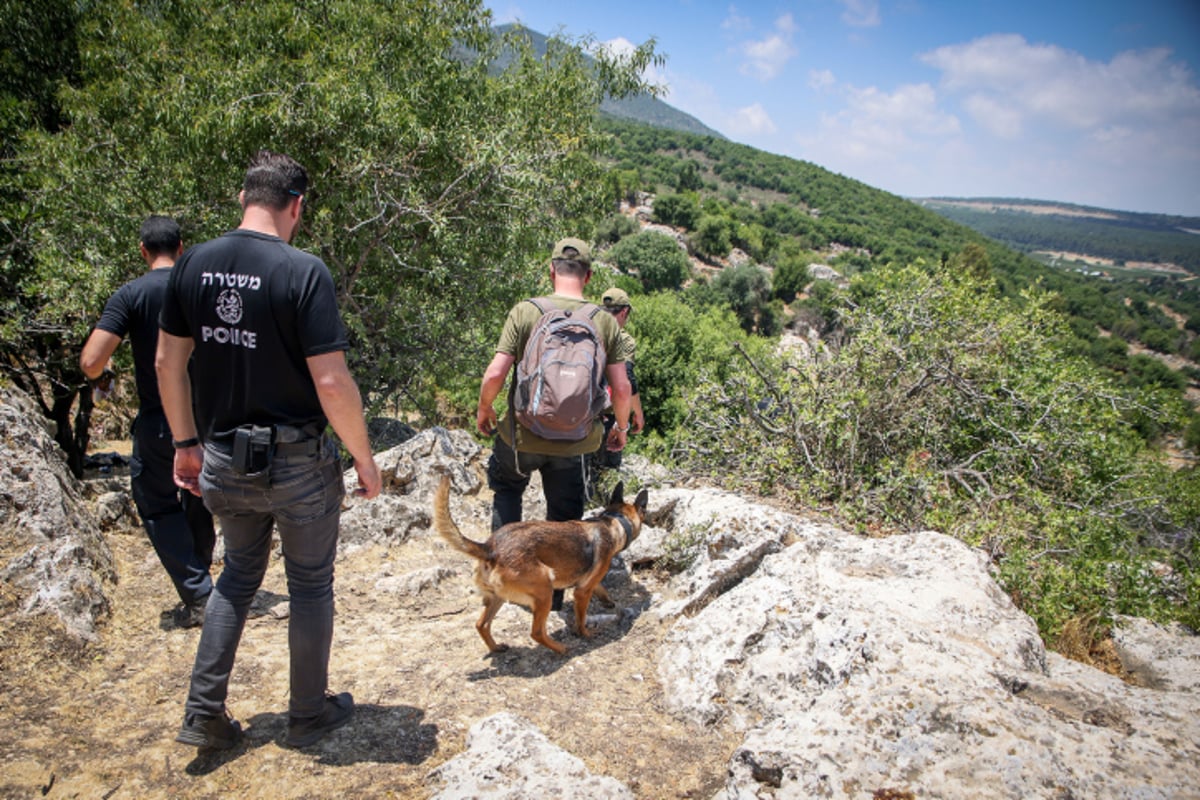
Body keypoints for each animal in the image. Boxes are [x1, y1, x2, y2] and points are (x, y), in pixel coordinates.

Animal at [436, 474, 652, 657]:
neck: (613, 521)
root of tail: (490, 548)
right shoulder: (582, 591)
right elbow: (581, 617)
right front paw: (585, 633)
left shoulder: (586, 583)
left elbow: (600, 587)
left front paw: (607, 600)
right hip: (544, 590)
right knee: (536, 632)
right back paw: (560, 648)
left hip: (498, 597)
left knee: (481, 624)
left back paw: (496, 648)